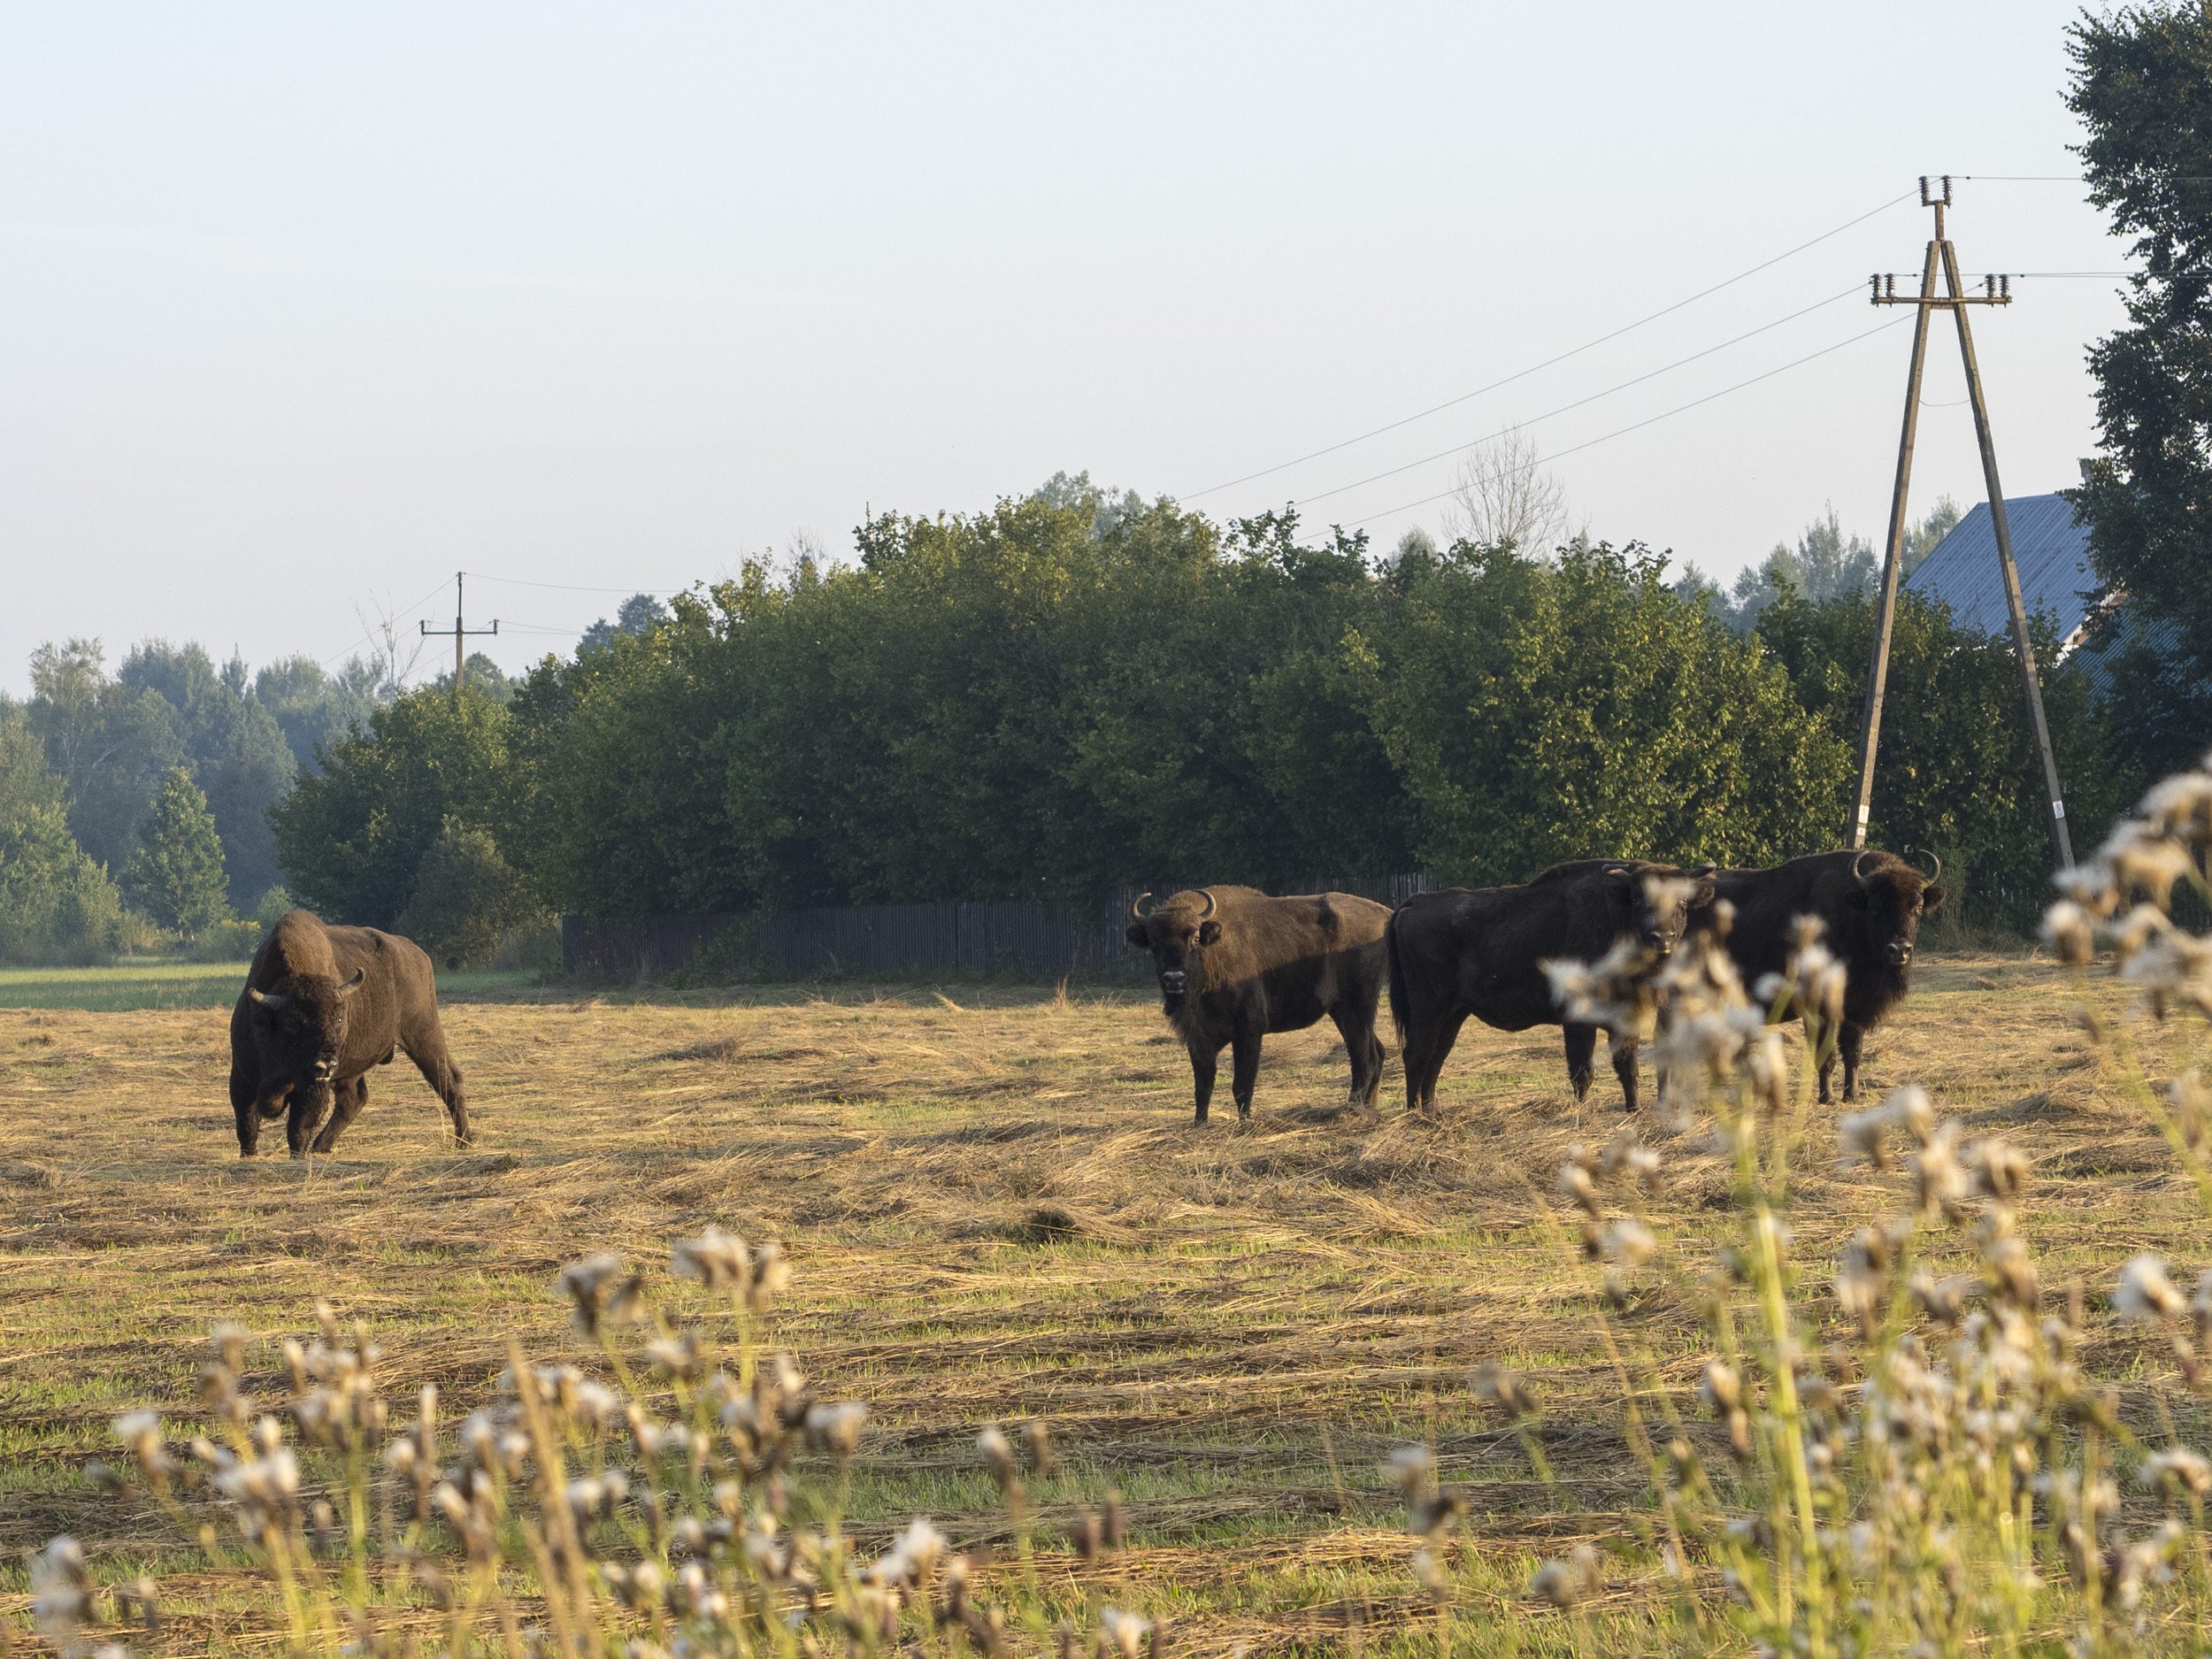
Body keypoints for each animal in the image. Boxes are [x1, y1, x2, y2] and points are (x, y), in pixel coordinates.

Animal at [228, 910, 471, 1158]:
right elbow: (246, 1124)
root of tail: (418, 954)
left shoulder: (313, 1088)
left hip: (424, 1035)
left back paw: (464, 1141)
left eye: (338, 1019)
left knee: (449, 1082)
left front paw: (298, 1156)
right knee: (354, 1099)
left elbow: (298, 1129)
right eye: (292, 1023)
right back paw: (321, 1146)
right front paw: (249, 1156)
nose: (326, 1065)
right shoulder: (242, 1076)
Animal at [1125, 886, 1391, 1124]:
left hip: (1357, 1007)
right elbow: (1203, 1086)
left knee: (1364, 1058)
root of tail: (1384, 914)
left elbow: (1242, 1085)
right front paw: (1199, 1124)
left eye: (1196, 938)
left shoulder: (1248, 1029)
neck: (1212, 955)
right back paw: (1369, 1109)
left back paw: (1352, 1110)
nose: (1174, 978)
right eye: (1153, 942)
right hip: (1342, 1012)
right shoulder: (1198, 1037)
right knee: (1376, 1053)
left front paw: (1245, 1123)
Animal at [1386, 861, 1717, 1115]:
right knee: (1416, 1054)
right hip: (1429, 1008)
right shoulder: (1578, 1020)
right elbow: (1583, 1070)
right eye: (1637, 900)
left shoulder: (1624, 1018)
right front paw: (1582, 1111)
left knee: (1436, 1057)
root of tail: (1415, 901)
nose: (1662, 938)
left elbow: (1627, 1066)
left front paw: (1633, 1109)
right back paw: (1414, 1115)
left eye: (1683, 902)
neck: (1615, 916)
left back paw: (1431, 1112)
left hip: (1454, 1014)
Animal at [1701, 848, 1945, 1104]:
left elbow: (1853, 1053)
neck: (1853, 917)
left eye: (1918, 907)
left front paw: (1851, 1095)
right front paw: (1827, 1097)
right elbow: (1827, 1055)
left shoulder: (1855, 1010)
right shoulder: (1821, 1010)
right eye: (1875, 906)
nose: (1899, 950)